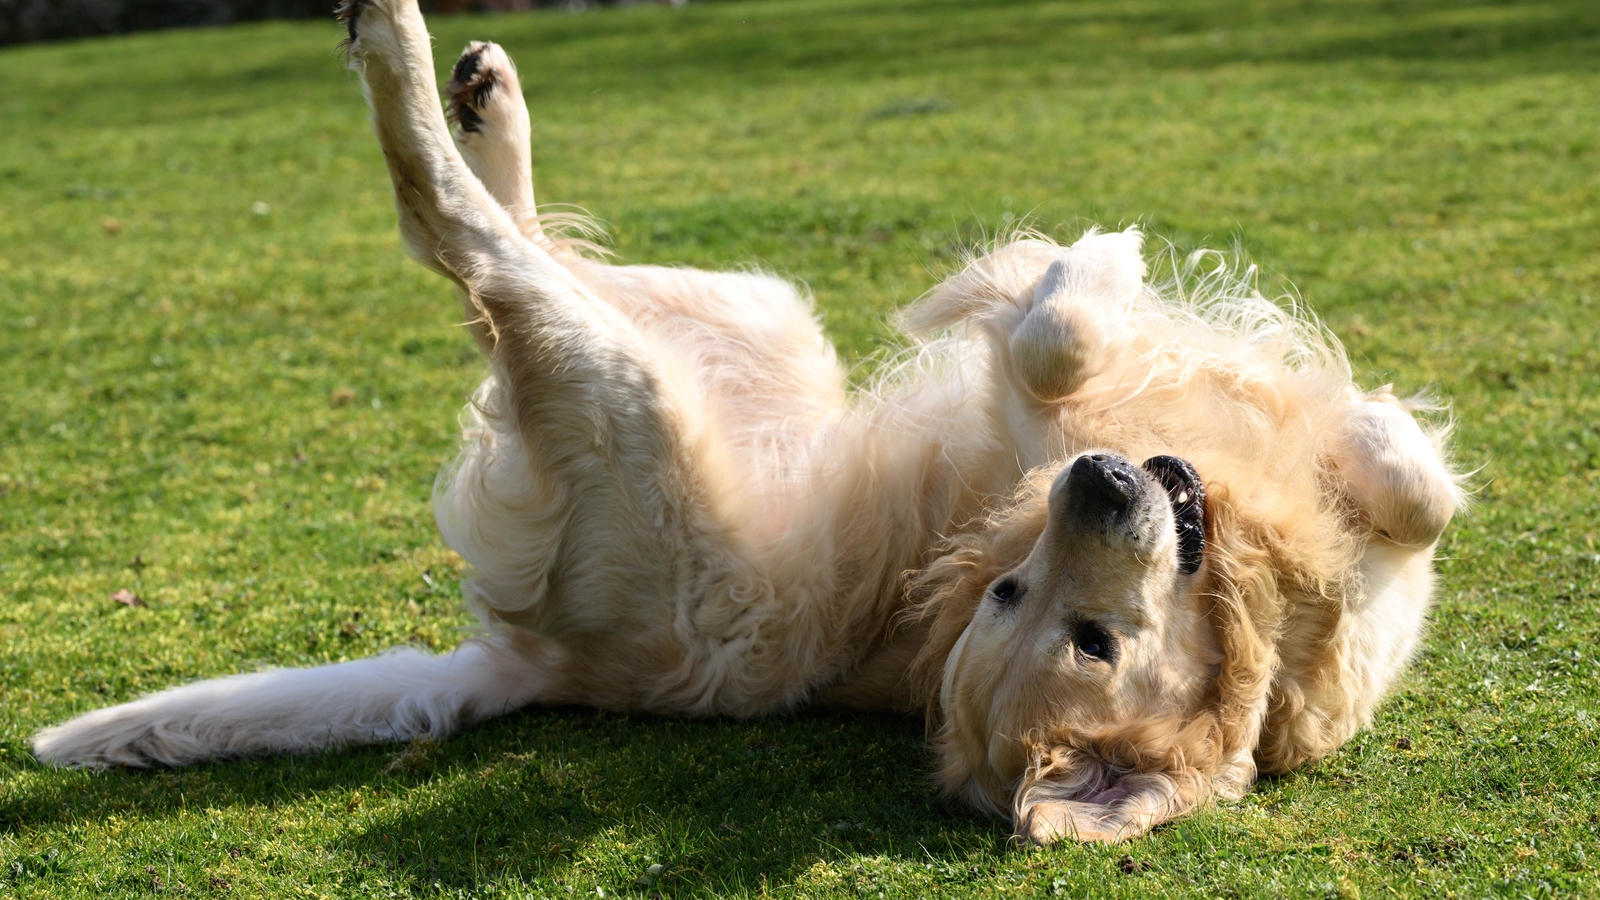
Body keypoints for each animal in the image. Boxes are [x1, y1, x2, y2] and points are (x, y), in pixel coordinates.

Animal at [31, 0, 1465, 839]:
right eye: (1005, 589)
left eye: (1087, 639)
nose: (1102, 482)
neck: (1246, 577)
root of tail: (546, 666)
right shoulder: (1042, 432)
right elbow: (1061, 344)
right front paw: (1102, 283)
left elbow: (1390, 499)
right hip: (741, 324)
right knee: (496, 246)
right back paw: (469, 87)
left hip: (636, 380)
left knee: (467, 251)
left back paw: (416, 61)